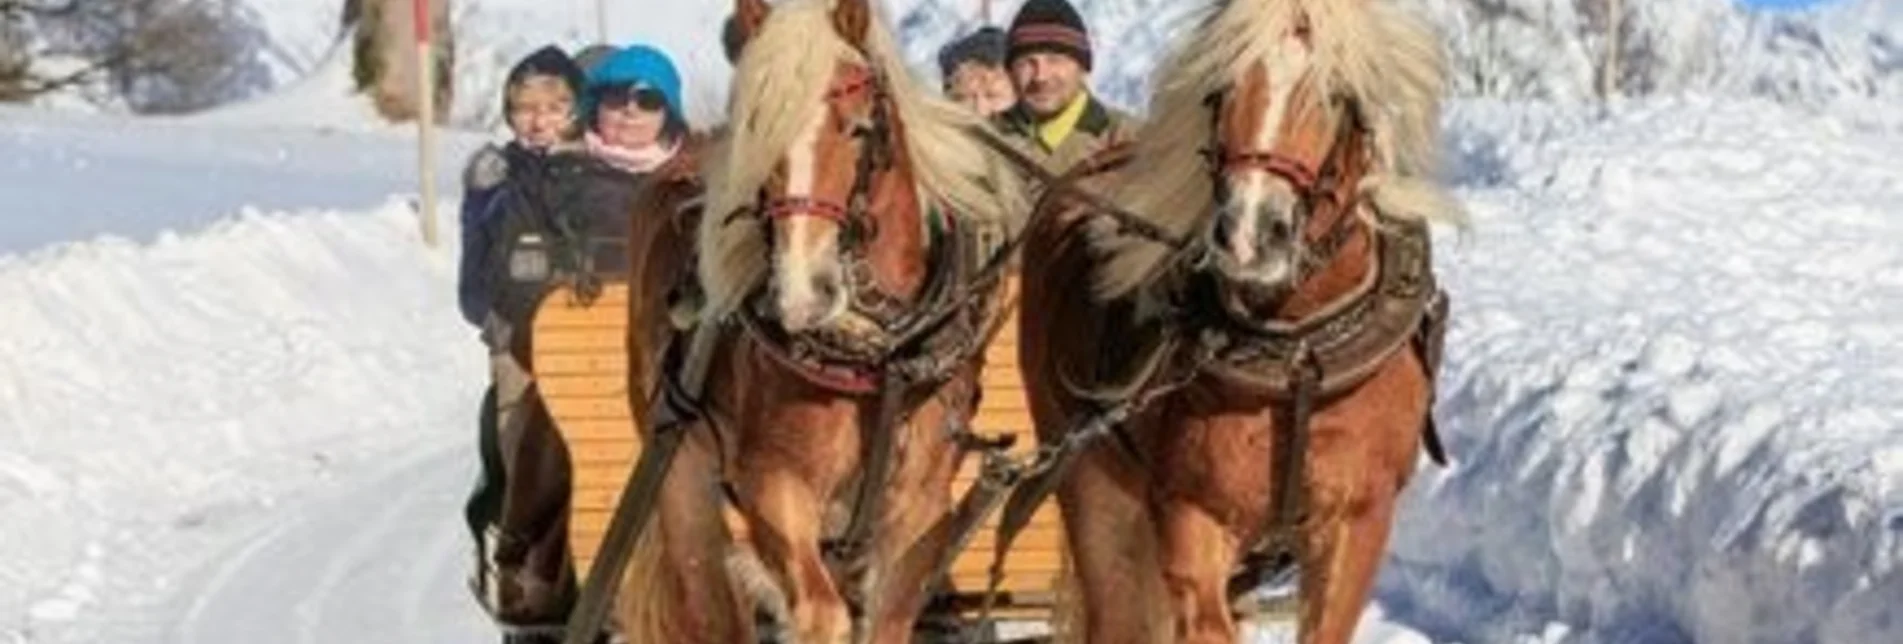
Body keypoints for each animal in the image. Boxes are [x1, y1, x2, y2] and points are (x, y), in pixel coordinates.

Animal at [612, 0, 1027, 640]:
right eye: (756, 131)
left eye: (859, 129)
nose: (801, 294)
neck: (882, 356)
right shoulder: (771, 482)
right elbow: (820, 613)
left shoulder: (919, 508)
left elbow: (888, 616)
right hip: (680, 476)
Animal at [1020, 0, 1461, 640]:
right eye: (1221, 86)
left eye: (1333, 93)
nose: (1250, 234)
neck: (1300, 354)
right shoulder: (1193, 517)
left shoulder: (1359, 521)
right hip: (1091, 486)